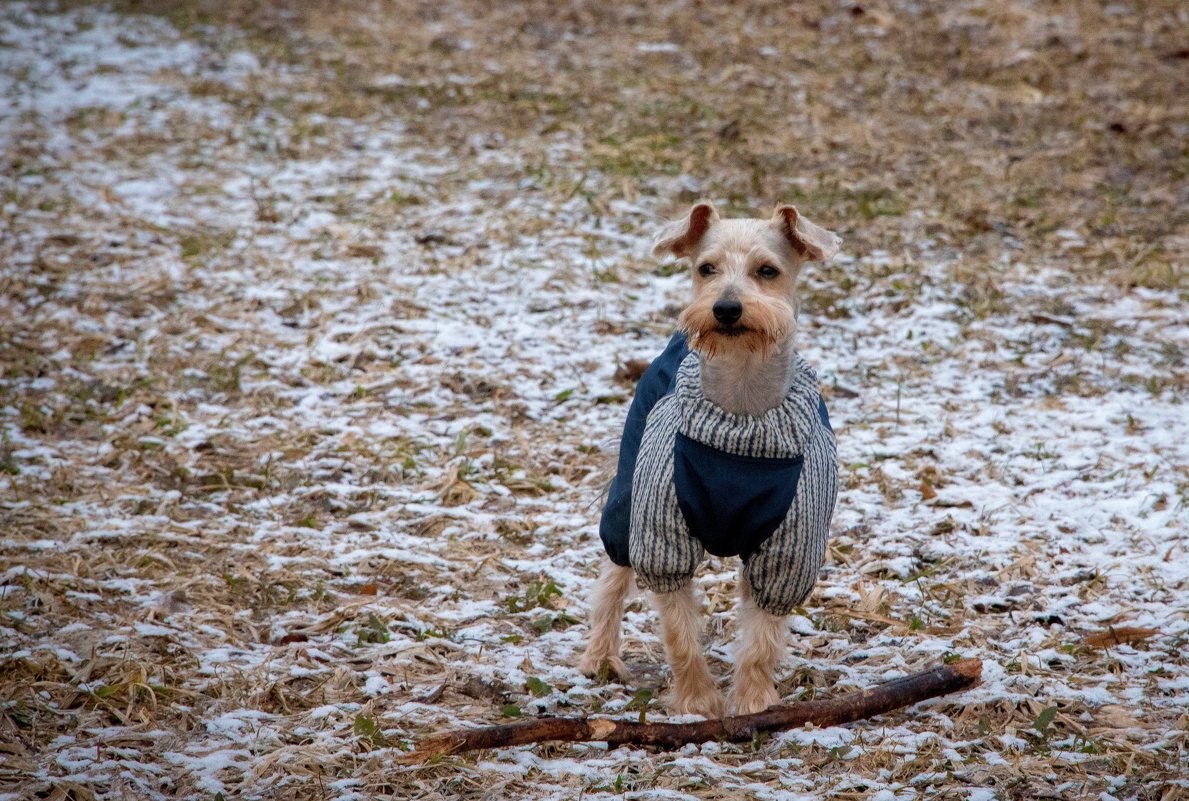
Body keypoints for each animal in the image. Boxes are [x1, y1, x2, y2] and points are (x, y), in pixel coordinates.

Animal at [577, 203, 841, 713]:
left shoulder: (788, 551)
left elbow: (760, 641)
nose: (725, 308)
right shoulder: (661, 537)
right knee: (612, 576)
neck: (740, 411)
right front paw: (697, 703)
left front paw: (755, 704)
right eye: (706, 268)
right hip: (627, 495)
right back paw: (600, 656)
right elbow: (680, 634)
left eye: (767, 271)